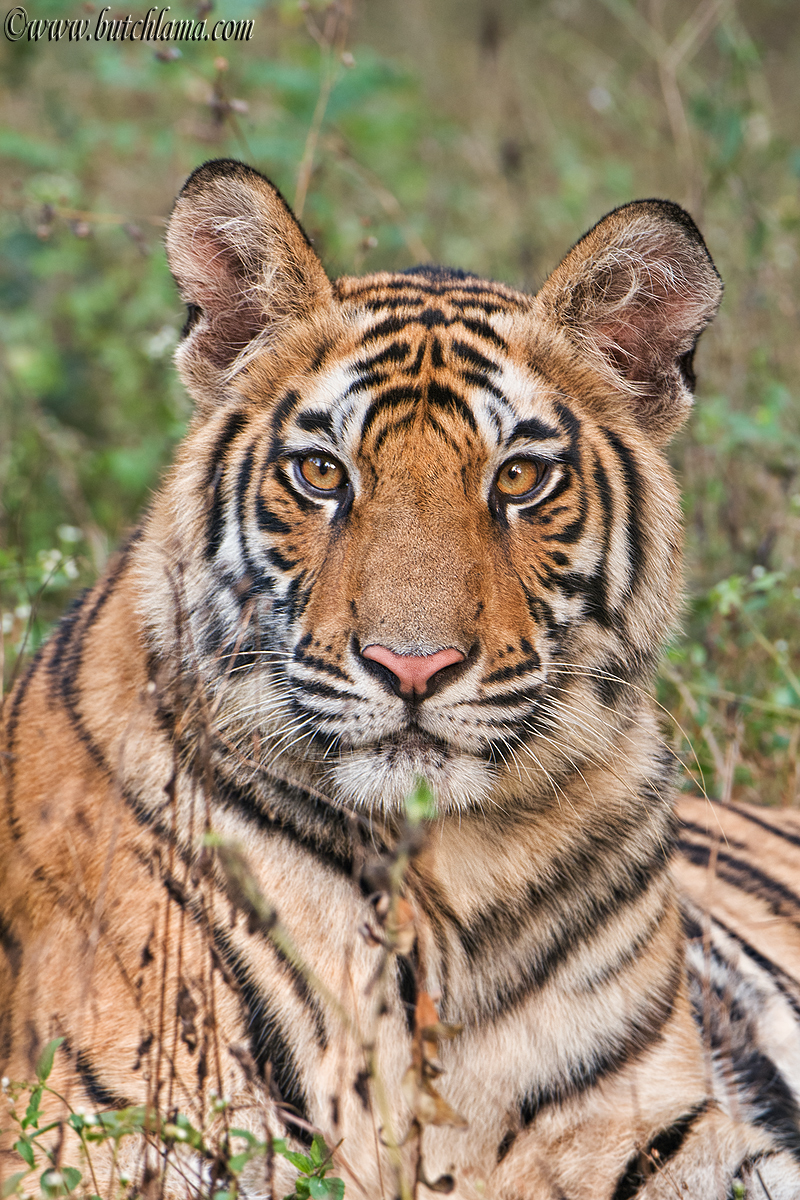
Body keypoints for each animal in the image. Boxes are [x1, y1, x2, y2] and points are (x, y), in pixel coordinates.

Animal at [2, 157, 800, 1199]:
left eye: (518, 480)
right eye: (321, 474)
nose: (411, 666)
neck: (449, 888)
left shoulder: (664, 1136)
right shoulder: (106, 1132)